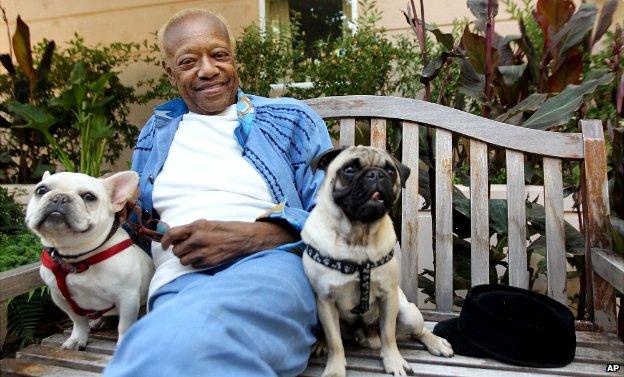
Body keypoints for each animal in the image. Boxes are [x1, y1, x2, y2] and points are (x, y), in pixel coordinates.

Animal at [25, 170, 155, 350]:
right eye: (41, 190)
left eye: (89, 196)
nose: (60, 197)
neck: (76, 257)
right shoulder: (61, 298)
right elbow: (78, 320)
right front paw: (78, 338)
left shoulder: (127, 298)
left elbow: (124, 325)